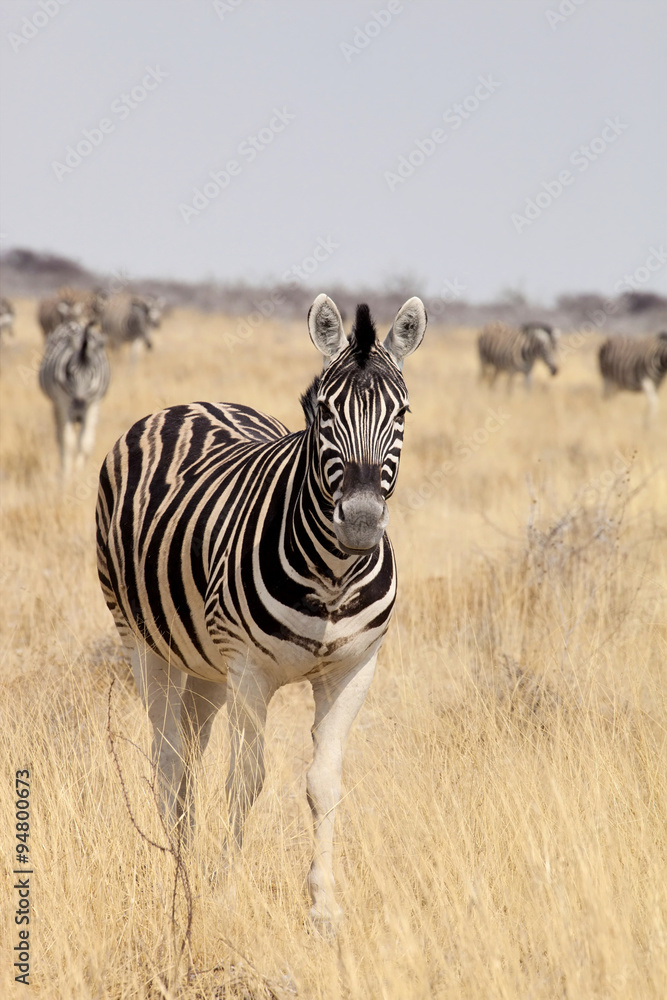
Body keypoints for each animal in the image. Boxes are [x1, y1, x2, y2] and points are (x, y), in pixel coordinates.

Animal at [39, 320, 111, 479]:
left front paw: (79, 473)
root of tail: (77, 323)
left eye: (92, 374)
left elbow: (85, 443)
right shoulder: (63, 402)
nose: (79, 404)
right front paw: (66, 475)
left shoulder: (93, 403)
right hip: (56, 405)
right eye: (69, 372)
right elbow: (68, 442)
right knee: (60, 437)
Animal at [95, 293, 427, 934]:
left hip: (205, 664)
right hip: (141, 643)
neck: (333, 575)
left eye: (400, 413)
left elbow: (323, 782)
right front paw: (225, 891)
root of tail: (191, 403)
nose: (361, 521)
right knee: (167, 760)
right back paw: (177, 872)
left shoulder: (354, 670)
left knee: (189, 758)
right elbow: (245, 781)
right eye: (324, 412)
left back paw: (189, 854)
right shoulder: (249, 669)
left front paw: (323, 906)